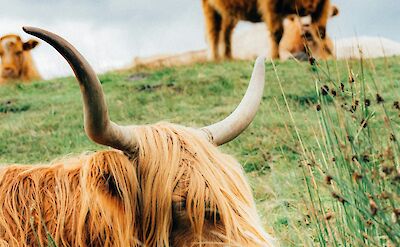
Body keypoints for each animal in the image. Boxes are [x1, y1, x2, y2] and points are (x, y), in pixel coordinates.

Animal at [203, 0, 332, 59]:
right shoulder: (272, 5)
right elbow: (277, 32)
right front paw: (275, 57)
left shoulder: (322, 5)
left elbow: (321, 32)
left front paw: (325, 55)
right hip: (209, 7)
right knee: (214, 32)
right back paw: (215, 58)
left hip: (228, 13)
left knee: (226, 32)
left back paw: (228, 57)